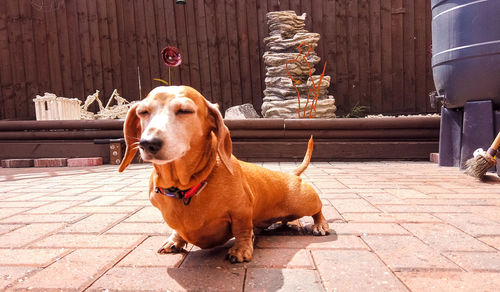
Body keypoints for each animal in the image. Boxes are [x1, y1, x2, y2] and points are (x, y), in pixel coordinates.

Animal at [119, 85, 330, 264]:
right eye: (143, 112)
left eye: (185, 111)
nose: (148, 143)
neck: (185, 188)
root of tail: (291, 174)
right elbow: (177, 230)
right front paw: (174, 240)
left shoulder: (242, 210)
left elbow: (243, 230)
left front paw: (241, 249)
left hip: (305, 202)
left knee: (318, 210)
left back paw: (320, 225)